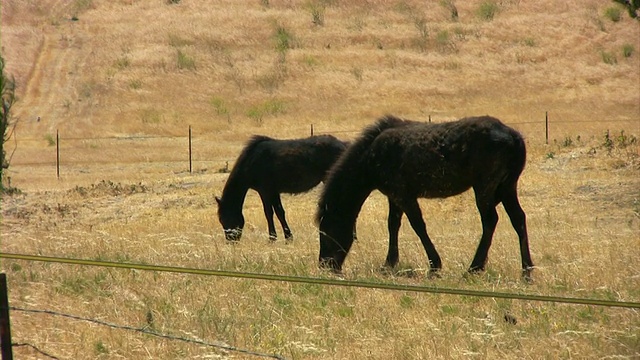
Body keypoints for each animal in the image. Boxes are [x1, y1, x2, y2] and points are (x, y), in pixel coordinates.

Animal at [215, 134, 348, 242]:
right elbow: (279, 213)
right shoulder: (273, 192)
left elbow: (269, 213)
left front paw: (274, 238)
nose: (231, 241)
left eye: (224, 218)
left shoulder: (265, 191)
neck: (252, 161)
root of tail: (343, 144)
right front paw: (286, 237)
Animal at [318, 116, 532, 280]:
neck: (372, 155)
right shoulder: (395, 197)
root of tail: (514, 137)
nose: (325, 265)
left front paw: (434, 265)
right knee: (518, 219)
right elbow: (393, 225)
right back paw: (527, 270)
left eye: (326, 231)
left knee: (490, 221)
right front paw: (389, 263)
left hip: (484, 188)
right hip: (507, 187)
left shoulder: (404, 196)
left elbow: (418, 226)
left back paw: (474, 268)